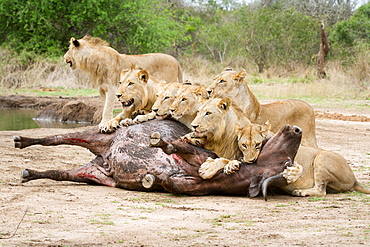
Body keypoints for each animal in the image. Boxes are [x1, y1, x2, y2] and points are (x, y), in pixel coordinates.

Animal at [237, 122, 370, 196]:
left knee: (321, 190)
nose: (249, 160)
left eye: (257, 145)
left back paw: (300, 192)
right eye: (244, 145)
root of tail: (355, 180)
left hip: (322, 157)